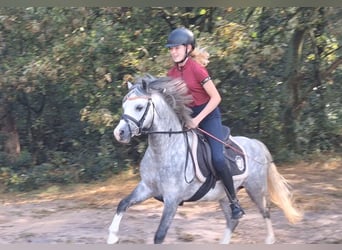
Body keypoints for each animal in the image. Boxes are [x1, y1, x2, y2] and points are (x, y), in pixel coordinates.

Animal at [109, 74, 302, 244]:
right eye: (124, 106)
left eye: (139, 107)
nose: (119, 133)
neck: (163, 150)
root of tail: (255, 143)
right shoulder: (147, 188)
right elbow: (122, 204)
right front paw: (112, 236)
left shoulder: (172, 199)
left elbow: (159, 235)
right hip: (224, 195)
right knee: (232, 220)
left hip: (255, 188)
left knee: (265, 212)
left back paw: (269, 239)